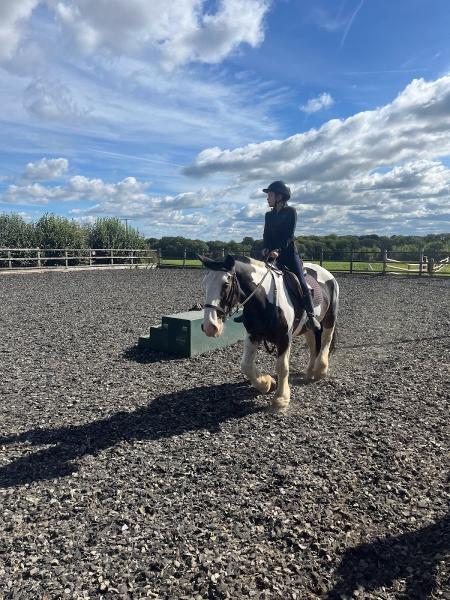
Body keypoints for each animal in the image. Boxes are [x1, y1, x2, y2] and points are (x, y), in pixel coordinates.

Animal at [199, 253, 340, 412]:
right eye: (205, 284)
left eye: (226, 284)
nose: (210, 326)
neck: (265, 299)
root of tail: (327, 273)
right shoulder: (253, 334)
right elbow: (246, 365)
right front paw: (267, 384)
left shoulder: (284, 337)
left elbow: (282, 367)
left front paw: (281, 399)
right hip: (309, 328)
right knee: (312, 345)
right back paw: (310, 372)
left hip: (330, 318)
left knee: (326, 340)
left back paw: (320, 371)